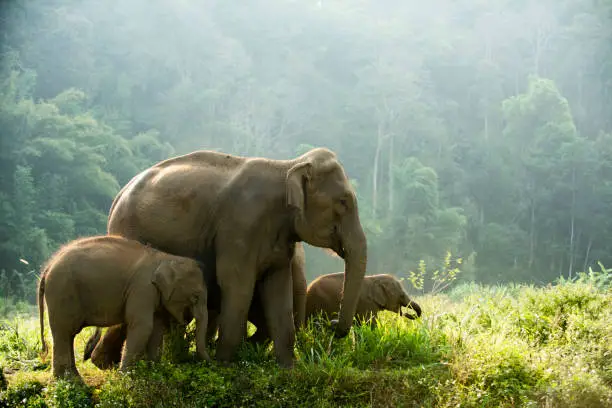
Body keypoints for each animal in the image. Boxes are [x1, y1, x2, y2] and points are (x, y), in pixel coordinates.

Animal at [38, 234, 210, 380]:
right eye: (195, 297)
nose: (210, 364)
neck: (166, 258)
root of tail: (47, 268)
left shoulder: (153, 294)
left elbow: (156, 329)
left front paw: (154, 373)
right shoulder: (142, 288)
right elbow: (143, 326)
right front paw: (126, 377)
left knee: (67, 334)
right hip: (62, 291)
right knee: (65, 331)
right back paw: (70, 381)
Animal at [85, 148, 364, 368]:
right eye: (343, 202)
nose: (333, 323)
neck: (287, 166)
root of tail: (118, 195)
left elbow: (277, 288)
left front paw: (287, 369)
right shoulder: (240, 227)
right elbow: (237, 284)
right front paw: (226, 366)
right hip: (129, 230)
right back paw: (106, 364)